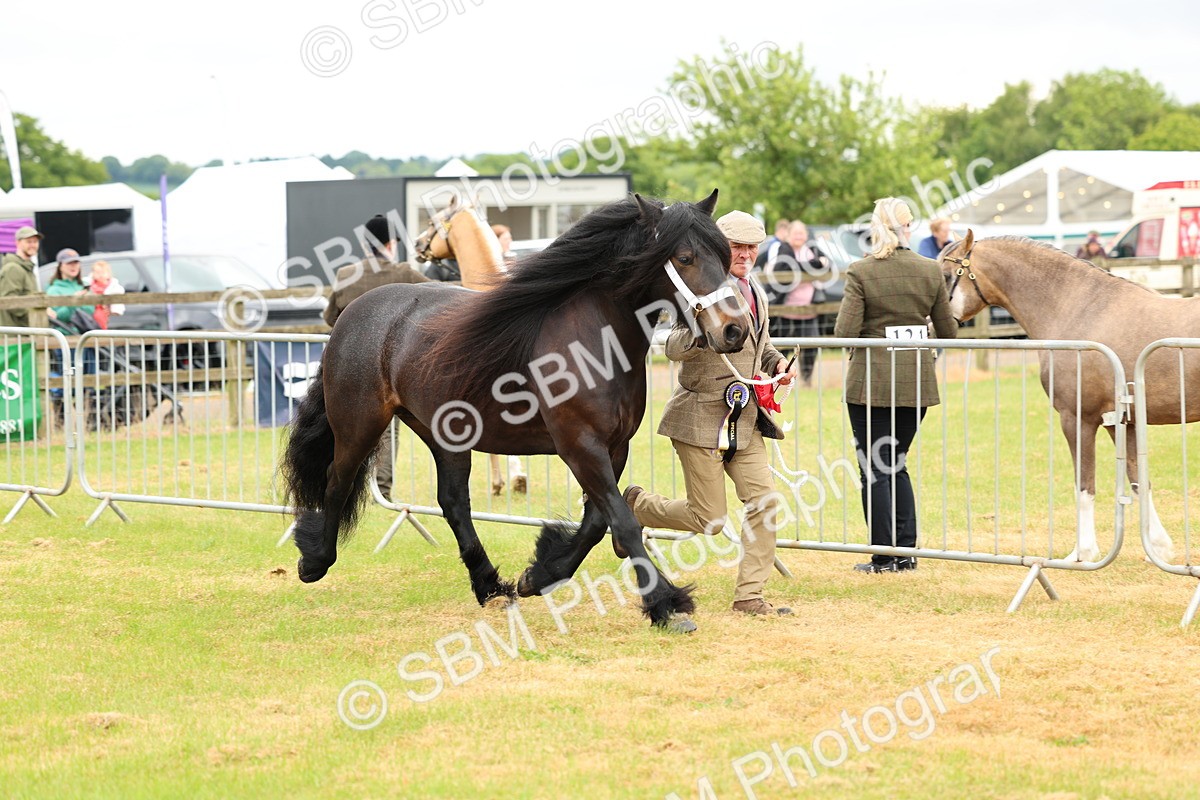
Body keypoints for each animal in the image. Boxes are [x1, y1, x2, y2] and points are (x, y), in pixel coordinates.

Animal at [940, 231, 1187, 563]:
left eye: (945, 275)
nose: (930, 324)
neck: (1080, 308)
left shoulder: (1077, 419)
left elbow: (1084, 485)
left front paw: (1083, 553)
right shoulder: (1122, 421)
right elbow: (1138, 480)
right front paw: (1159, 548)